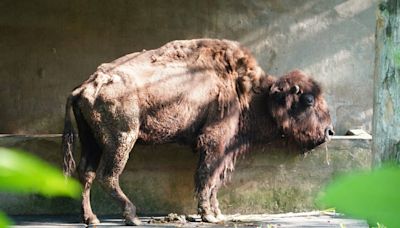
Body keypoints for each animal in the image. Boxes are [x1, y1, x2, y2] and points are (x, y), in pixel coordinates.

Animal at [61, 38, 332, 225]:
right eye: (308, 100)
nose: (329, 131)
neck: (250, 91)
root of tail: (86, 85)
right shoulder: (214, 142)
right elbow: (206, 176)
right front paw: (208, 215)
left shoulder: (225, 149)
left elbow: (214, 180)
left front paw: (217, 212)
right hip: (122, 139)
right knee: (108, 175)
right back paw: (132, 216)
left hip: (92, 141)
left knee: (86, 173)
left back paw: (91, 219)